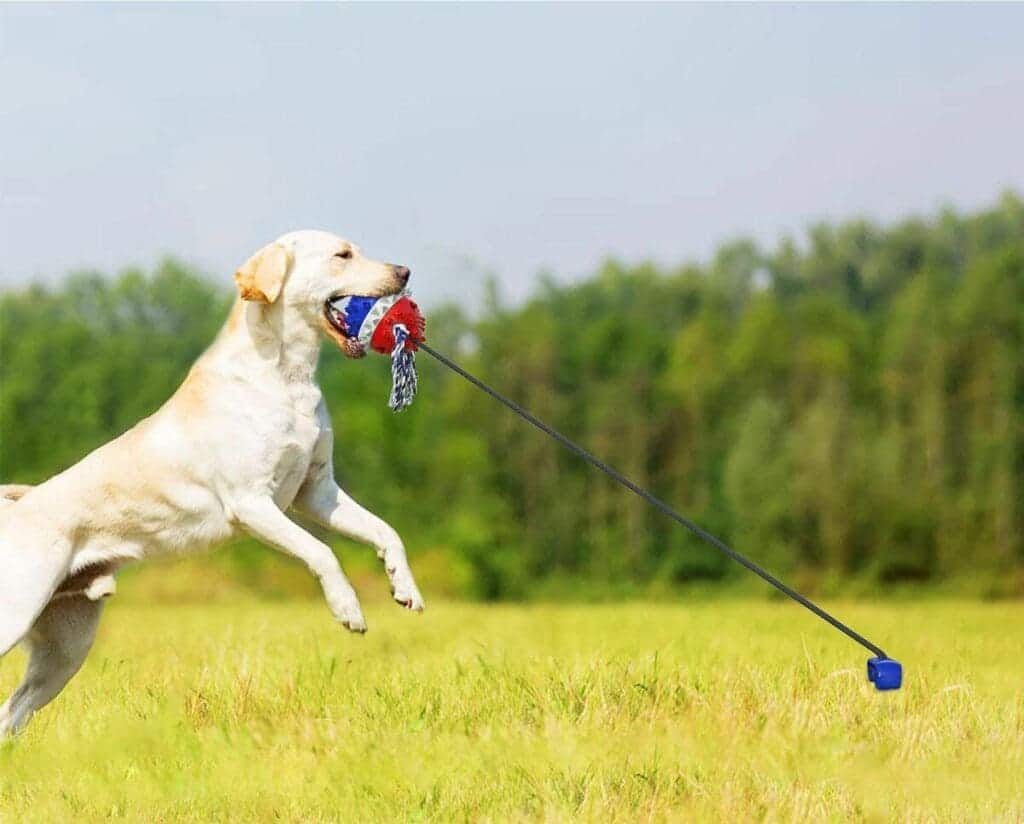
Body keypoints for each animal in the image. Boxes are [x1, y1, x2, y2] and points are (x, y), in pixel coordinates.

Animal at [0, 230, 423, 732]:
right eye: (342, 255)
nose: (404, 271)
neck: (286, 376)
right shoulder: (253, 503)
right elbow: (322, 552)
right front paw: (349, 610)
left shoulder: (317, 493)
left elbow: (387, 531)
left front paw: (404, 588)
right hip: (19, 609)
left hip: (66, 648)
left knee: (12, 711)